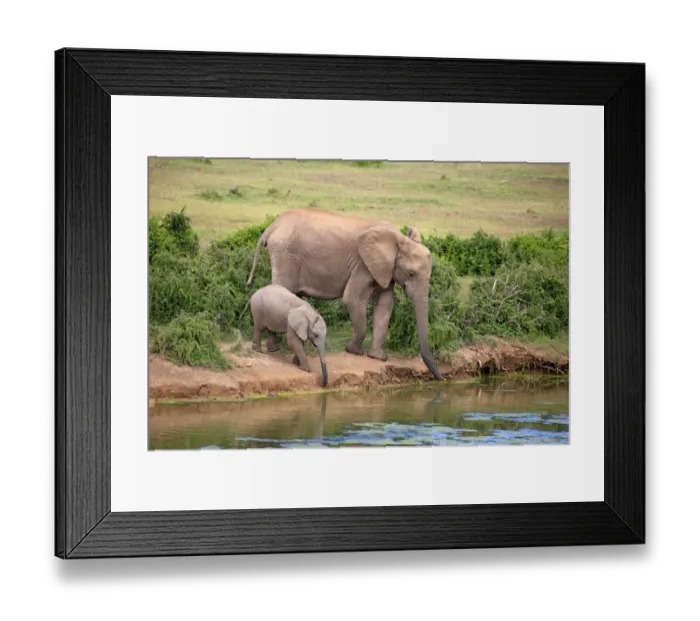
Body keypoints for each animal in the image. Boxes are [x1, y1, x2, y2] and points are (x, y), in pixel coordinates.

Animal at [247, 208, 443, 381]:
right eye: (411, 274)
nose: (441, 377)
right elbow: (352, 298)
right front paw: (354, 351)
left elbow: (384, 305)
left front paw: (378, 357)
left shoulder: (386, 270)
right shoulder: (362, 265)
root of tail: (273, 225)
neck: (398, 240)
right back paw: (274, 350)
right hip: (285, 255)